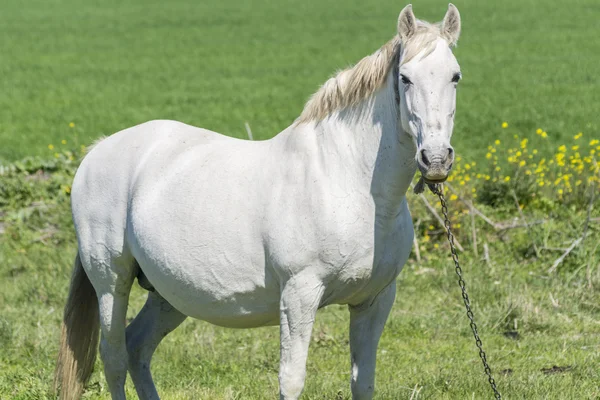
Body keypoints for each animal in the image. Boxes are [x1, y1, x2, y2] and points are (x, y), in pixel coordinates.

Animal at [54, 3, 462, 400]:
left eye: (455, 76)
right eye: (405, 78)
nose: (435, 160)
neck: (346, 181)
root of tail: (97, 151)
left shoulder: (374, 300)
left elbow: (363, 383)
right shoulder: (299, 295)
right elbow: (291, 380)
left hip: (170, 293)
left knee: (138, 347)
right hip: (112, 281)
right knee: (114, 356)